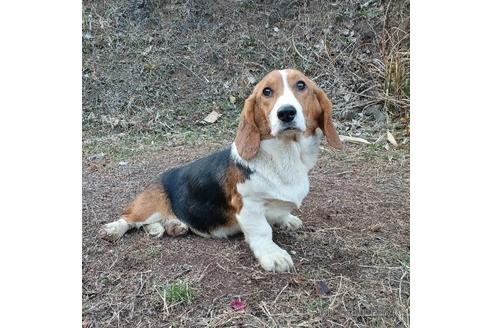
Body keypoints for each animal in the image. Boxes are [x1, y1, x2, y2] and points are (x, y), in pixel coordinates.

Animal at [100, 70, 342, 274]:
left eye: (301, 85)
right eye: (267, 91)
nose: (286, 113)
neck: (286, 155)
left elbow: (281, 213)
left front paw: (288, 220)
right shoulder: (248, 206)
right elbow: (263, 231)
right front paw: (274, 256)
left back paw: (173, 226)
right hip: (148, 206)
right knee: (129, 218)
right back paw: (113, 228)